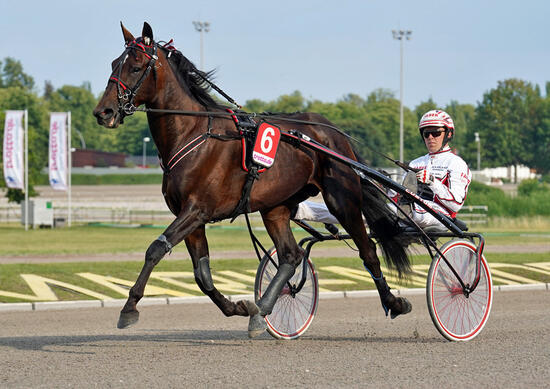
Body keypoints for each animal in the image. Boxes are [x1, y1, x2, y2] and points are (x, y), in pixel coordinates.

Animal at [94, 22, 414, 336]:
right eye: (113, 63)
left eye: (136, 66)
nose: (103, 112)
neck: (193, 133)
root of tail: (332, 131)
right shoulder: (191, 218)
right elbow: (202, 275)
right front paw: (240, 307)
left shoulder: (196, 210)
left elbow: (156, 249)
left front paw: (129, 307)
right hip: (276, 207)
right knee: (290, 255)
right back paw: (261, 311)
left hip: (342, 199)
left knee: (367, 249)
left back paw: (394, 302)